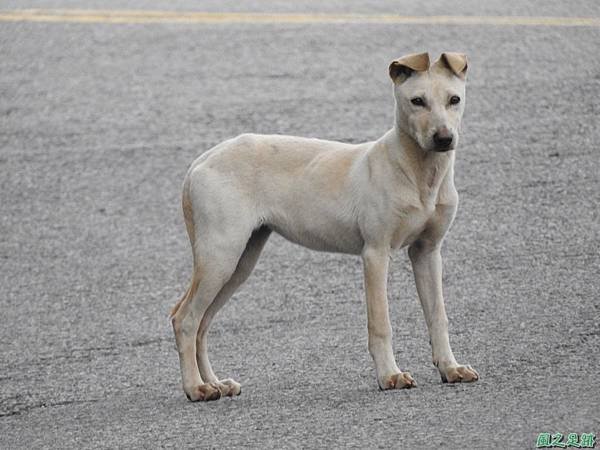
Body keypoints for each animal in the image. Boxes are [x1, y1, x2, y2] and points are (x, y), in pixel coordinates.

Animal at [169, 51, 478, 400]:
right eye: (417, 101)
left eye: (454, 99)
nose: (444, 139)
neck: (416, 173)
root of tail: (201, 161)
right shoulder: (375, 253)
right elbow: (381, 323)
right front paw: (390, 376)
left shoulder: (427, 252)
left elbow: (438, 316)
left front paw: (451, 369)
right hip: (220, 256)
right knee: (185, 319)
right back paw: (196, 388)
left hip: (240, 262)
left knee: (202, 324)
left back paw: (215, 383)